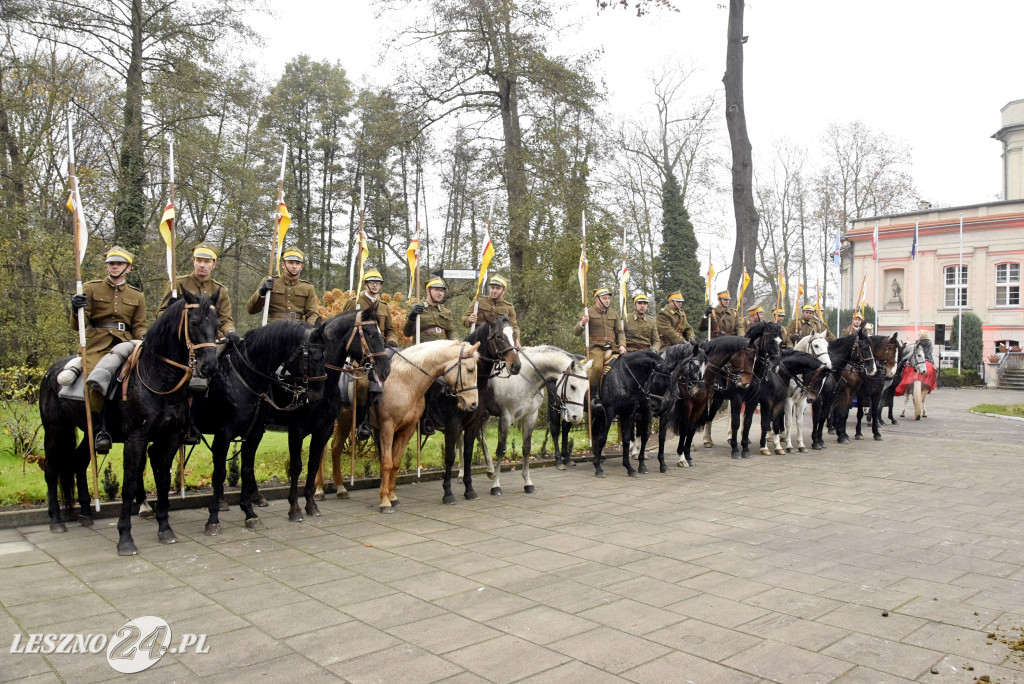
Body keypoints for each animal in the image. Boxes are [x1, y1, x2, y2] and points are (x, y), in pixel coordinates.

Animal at [193, 317, 333, 532]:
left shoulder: (255, 433)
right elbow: (219, 473)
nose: (317, 395)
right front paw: (213, 518)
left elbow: (247, 470)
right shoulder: (223, 434)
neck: (245, 376)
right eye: (316, 357)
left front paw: (249, 513)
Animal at [378, 339, 481, 509]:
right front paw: (448, 494)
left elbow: (467, 455)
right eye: (470, 370)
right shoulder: (452, 427)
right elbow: (449, 457)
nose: (474, 403)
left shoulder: (471, 427)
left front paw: (470, 491)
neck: (404, 381)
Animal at [473, 344, 589, 493]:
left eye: (586, 388)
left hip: (485, 416)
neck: (525, 378)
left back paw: (489, 471)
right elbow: (501, 449)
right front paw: (496, 485)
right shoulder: (505, 418)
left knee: (478, 437)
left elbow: (526, 448)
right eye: (573, 386)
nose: (577, 417)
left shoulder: (530, 416)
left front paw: (527, 482)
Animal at [589, 350, 675, 479]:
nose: (655, 407)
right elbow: (603, 438)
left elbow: (626, 440)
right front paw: (598, 469)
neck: (624, 377)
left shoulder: (629, 414)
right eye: (655, 382)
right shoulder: (609, 412)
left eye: (669, 383)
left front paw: (629, 468)